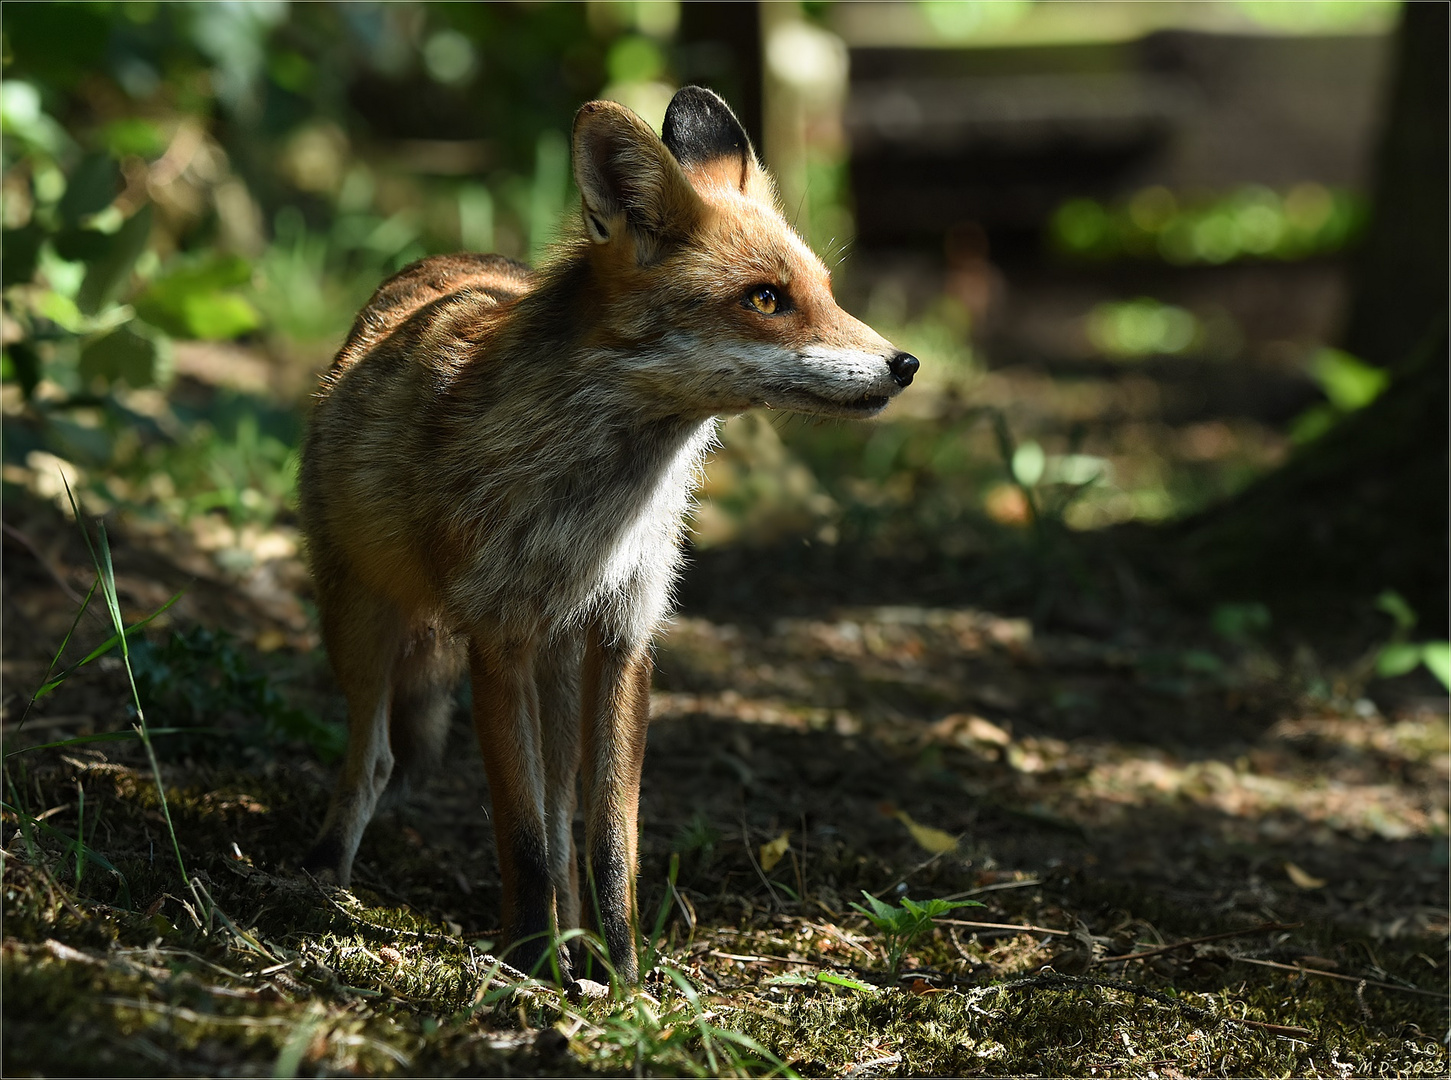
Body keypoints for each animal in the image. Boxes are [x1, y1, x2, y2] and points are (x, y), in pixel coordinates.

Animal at [300, 86, 917, 981]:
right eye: (766, 298)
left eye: (828, 291)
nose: (905, 365)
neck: (597, 517)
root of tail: (436, 263)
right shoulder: (497, 639)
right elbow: (521, 837)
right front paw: (526, 969)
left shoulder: (627, 636)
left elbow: (607, 840)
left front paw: (617, 975)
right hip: (360, 621)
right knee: (376, 759)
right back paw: (326, 877)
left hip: (557, 665)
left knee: (562, 813)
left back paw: (573, 940)